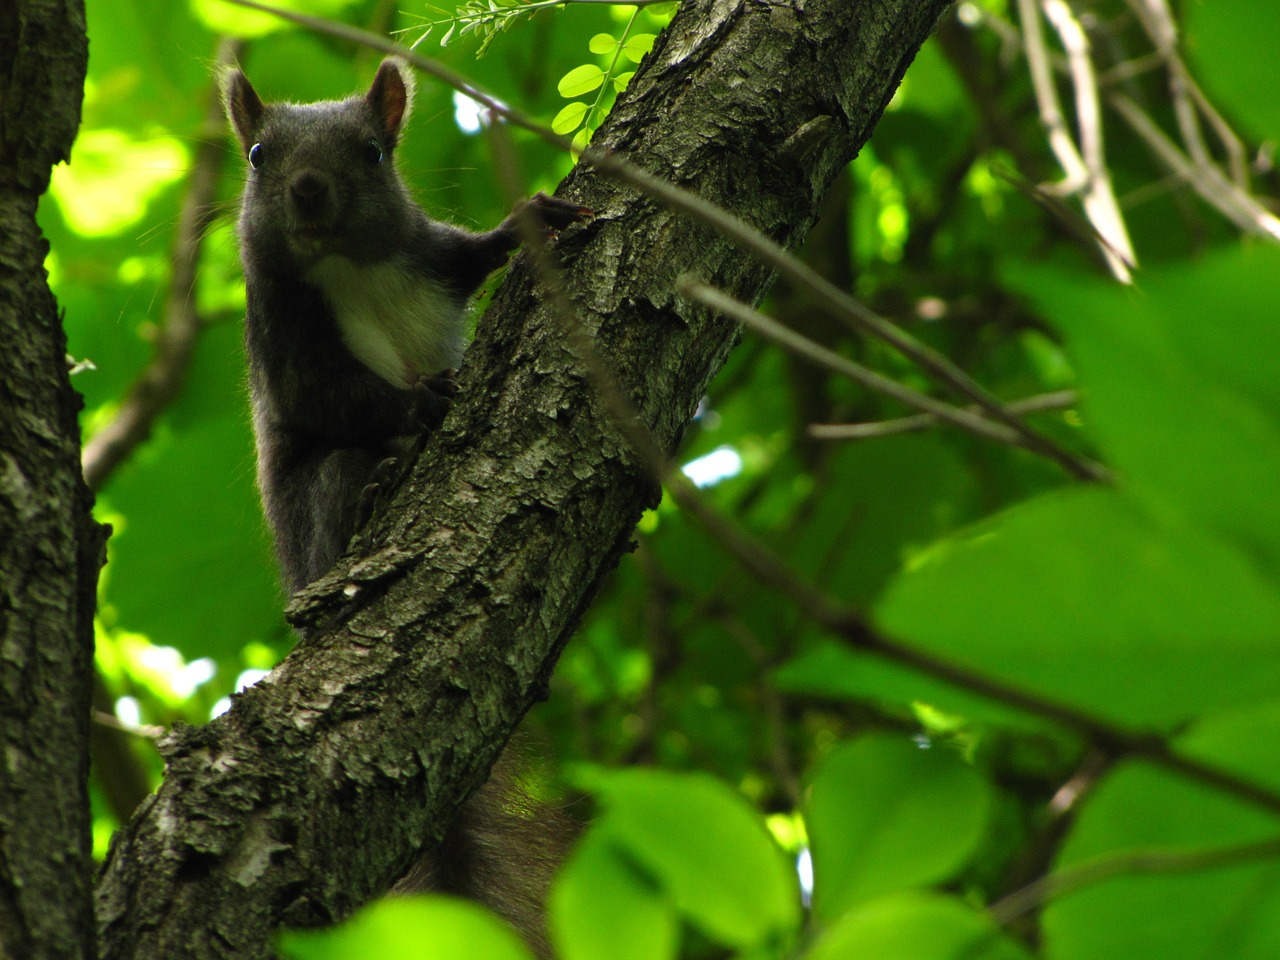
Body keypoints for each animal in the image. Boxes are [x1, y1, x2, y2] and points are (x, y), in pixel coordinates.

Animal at [220, 60, 586, 957]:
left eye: (373, 152)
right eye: (257, 155)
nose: (308, 189)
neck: (349, 268)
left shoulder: (428, 257)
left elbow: (469, 254)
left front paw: (527, 224)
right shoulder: (285, 333)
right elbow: (333, 400)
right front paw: (422, 402)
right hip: (322, 508)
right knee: (347, 469)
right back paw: (381, 484)